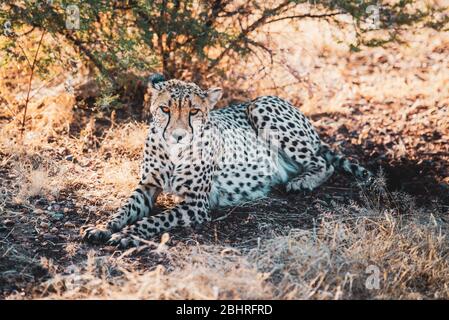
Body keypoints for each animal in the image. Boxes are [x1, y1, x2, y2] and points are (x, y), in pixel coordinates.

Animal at [81, 74, 372, 248]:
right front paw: (102, 227)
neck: (175, 153)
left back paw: (302, 182)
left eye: (194, 111)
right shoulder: (147, 187)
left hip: (260, 107)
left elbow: (153, 220)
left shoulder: (196, 204)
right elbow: (123, 210)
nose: (178, 136)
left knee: (325, 163)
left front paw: (126, 235)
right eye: (165, 109)